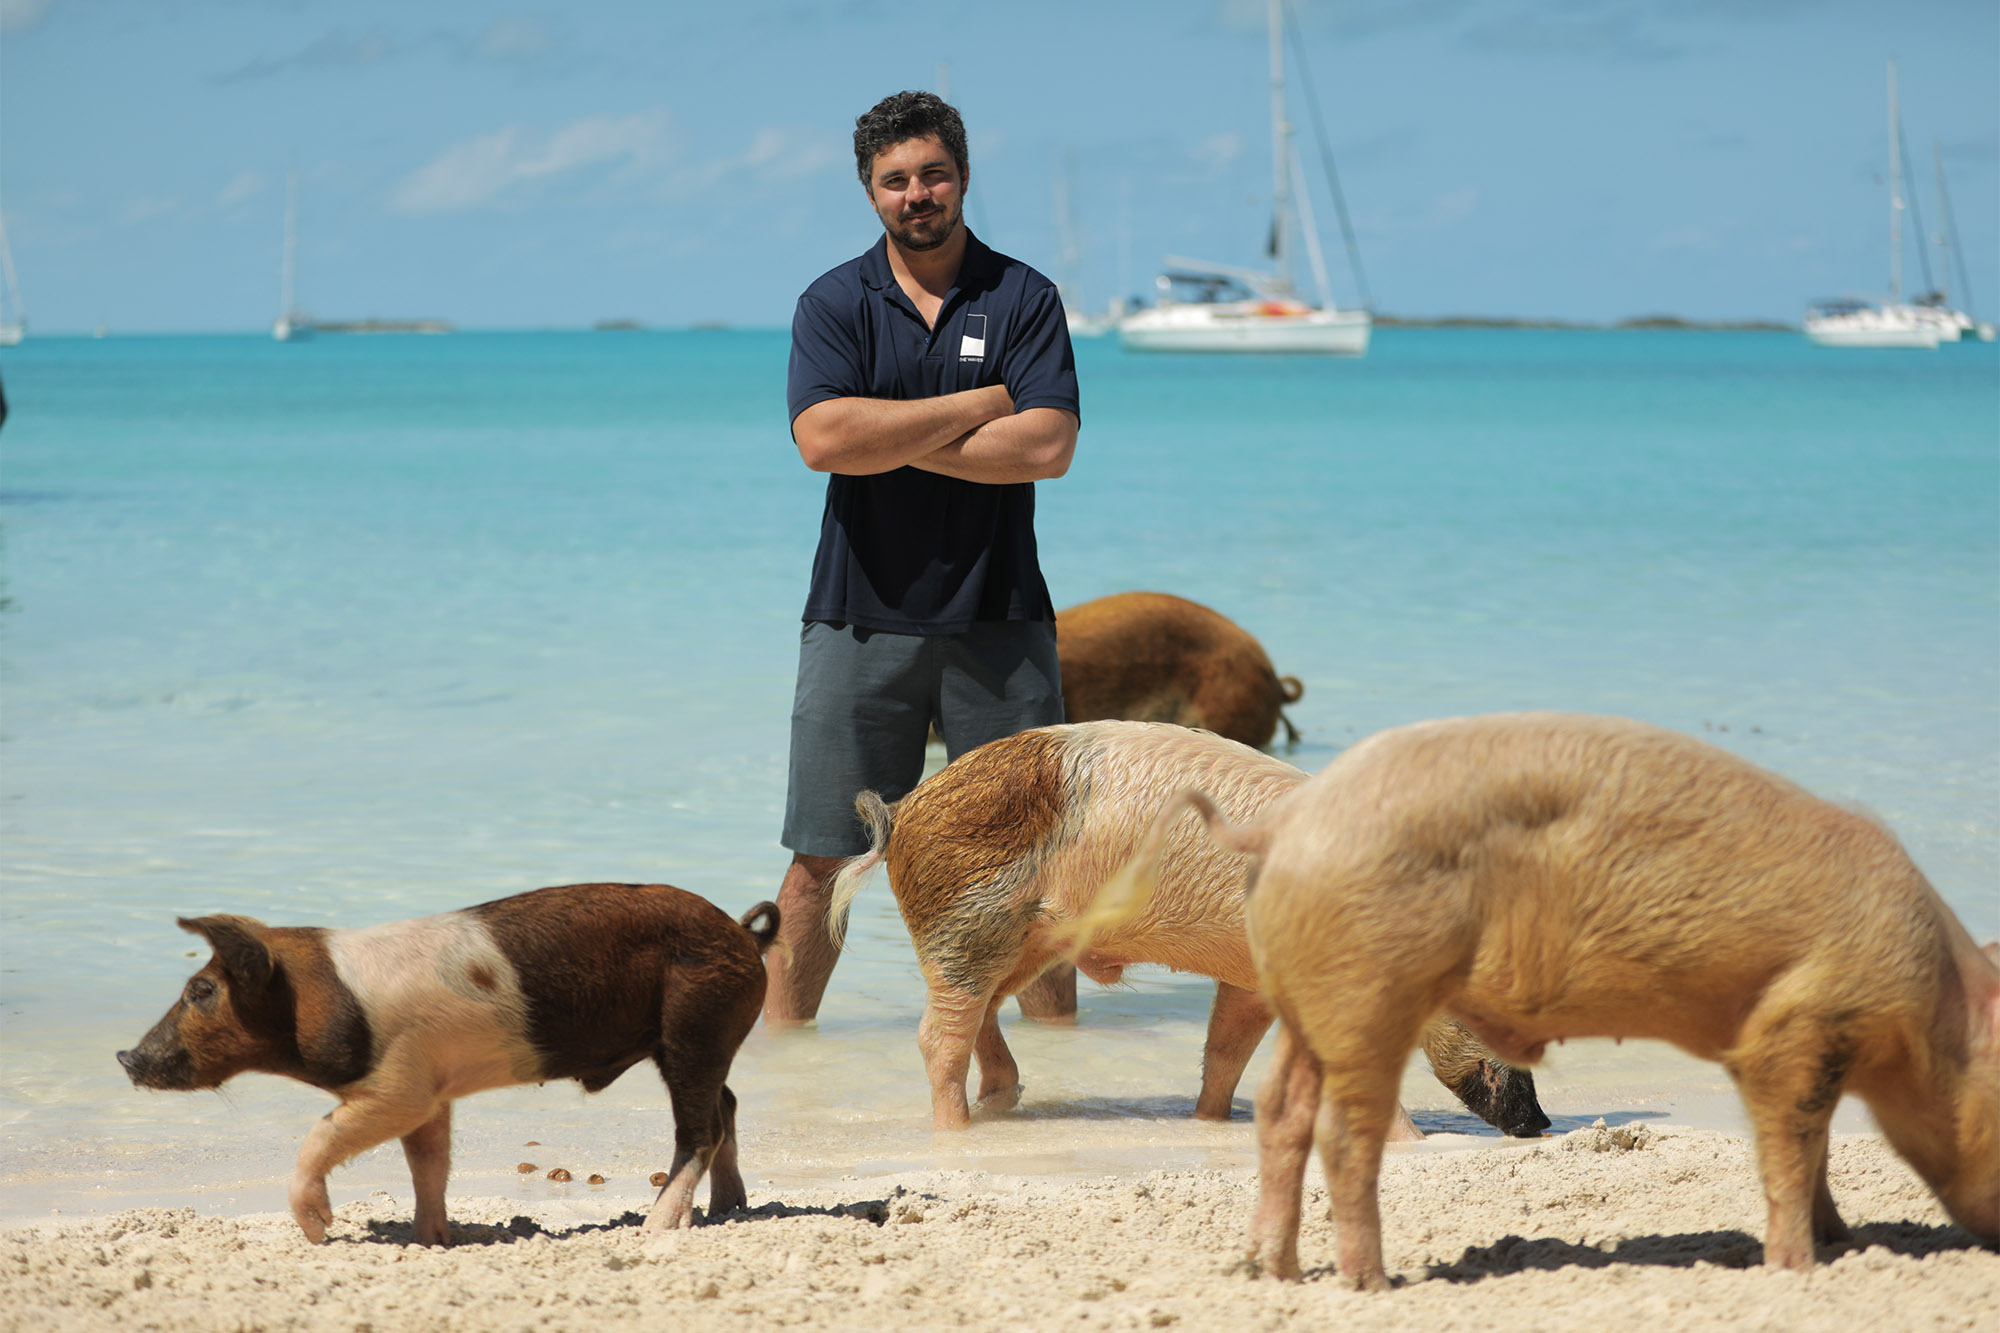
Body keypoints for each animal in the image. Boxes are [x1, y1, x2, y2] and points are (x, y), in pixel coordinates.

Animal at [118, 883, 779, 1246]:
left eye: (201, 990)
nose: (126, 1056)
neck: (316, 999)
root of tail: (745, 936)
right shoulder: (430, 1090)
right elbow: (428, 1163)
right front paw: (434, 1239)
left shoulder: (398, 1085)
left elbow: (324, 1134)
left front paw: (317, 1231)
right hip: (702, 1035)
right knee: (726, 1105)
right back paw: (727, 1208)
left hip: (695, 1022)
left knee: (699, 1127)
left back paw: (657, 1228)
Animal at [826, 719, 1548, 1137]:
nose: (1539, 1122)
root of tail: (902, 811)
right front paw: (1417, 1142)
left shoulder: (1251, 976)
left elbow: (1225, 1049)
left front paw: (1210, 1121)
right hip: (964, 923)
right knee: (938, 1036)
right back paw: (958, 1129)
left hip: (1026, 942)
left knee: (983, 1017)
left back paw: (1000, 1102)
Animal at [1080, 712, 2000, 1288]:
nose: (1544, 1122)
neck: (1926, 1003)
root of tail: (1279, 830)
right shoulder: (1788, 1032)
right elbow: (1790, 1148)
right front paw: (1802, 1265)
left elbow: (1813, 1153)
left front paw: (1844, 1242)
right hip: (1368, 986)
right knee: (1344, 1132)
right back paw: (1373, 1283)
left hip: (1316, 999)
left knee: (1281, 1111)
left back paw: (1272, 1271)